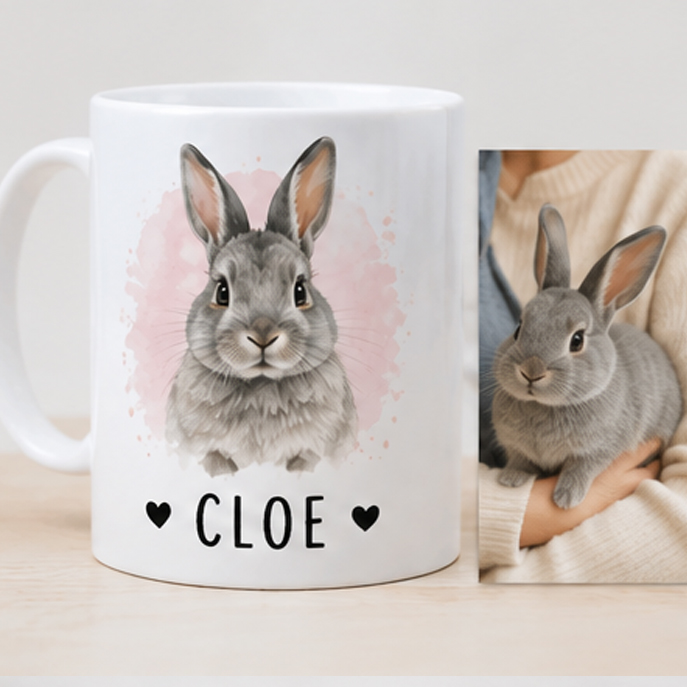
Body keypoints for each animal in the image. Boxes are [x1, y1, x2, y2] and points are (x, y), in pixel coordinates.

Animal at [166, 137, 358, 476]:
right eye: (222, 292)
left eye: (300, 290)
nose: (263, 335)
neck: (261, 385)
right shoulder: (204, 451)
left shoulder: (314, 452)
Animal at [492, 203, 682, 509]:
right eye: (518, 329)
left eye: (577, 340)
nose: (531, 371)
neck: (545, 406)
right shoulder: (517, 448)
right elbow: (521, 460)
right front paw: (510, 479)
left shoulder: (601, 449)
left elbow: (581, 467)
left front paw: (567, 497)